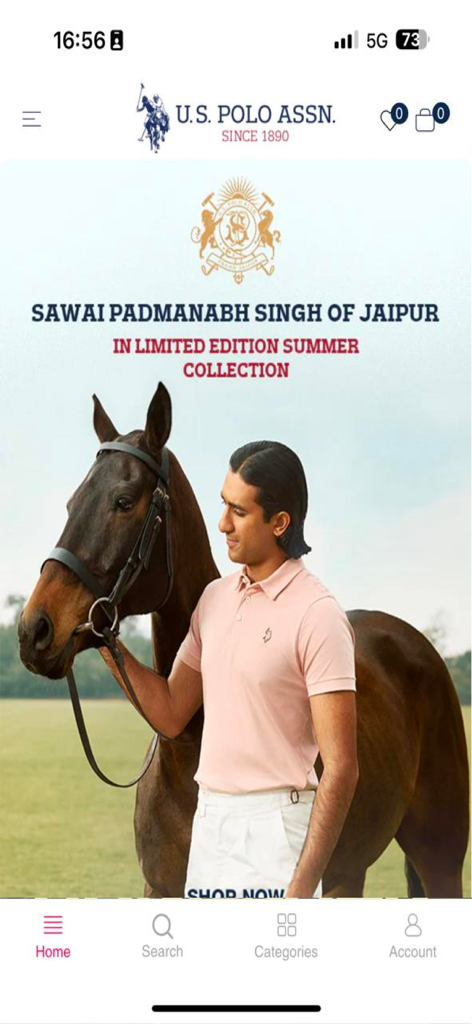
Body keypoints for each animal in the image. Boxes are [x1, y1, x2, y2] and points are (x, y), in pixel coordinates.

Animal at [18, 383, 469, 898]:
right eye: (72, 503)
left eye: (124, 501)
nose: (34, 629)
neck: (190, 754)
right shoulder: (161, 888)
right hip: (348, 872)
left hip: (440, 860)